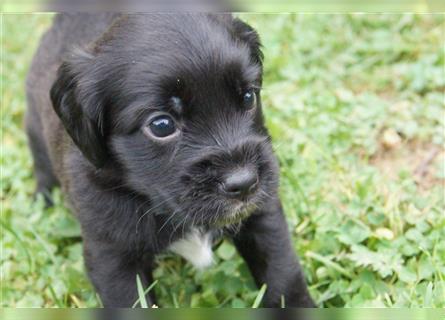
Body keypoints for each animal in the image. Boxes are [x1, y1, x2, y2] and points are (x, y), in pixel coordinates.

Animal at [25, 13, 316, 308]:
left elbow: (282, 273)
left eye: (248, 97)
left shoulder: (263, 214)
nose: (245, 183)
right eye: (161, 125)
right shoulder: (113, 254)